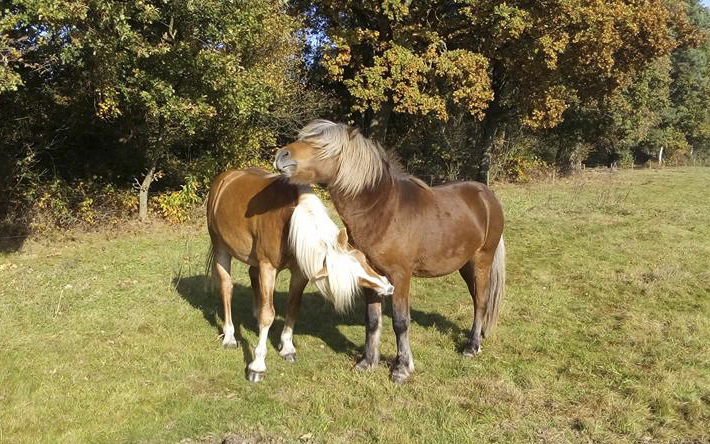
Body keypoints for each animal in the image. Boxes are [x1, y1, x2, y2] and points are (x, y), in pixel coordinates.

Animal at [206, 166, 394, 382]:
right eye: (351, 278)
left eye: (363, 259)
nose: (388, 286)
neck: (288, 221)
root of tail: (225, 178)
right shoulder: (268, 268)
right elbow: (267, 315)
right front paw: (257, 366)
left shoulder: (299, 272)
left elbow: (293, 307)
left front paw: (287, 347)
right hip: (222, 251)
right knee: (227, 288)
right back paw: (229, 336)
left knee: (252, 275)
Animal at [276, 120, 508, 382]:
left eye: (322, 146)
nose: (281, 156)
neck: (382, 213)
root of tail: (487, 196)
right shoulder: (369, 275)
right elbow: (372, 320)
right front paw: (367, 362)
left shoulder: (400, 276)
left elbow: (400, 322)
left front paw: (401, 368)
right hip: (466, 266)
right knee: (478, 299)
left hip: (482, 261)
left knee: (481, 302)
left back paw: (471, 346)